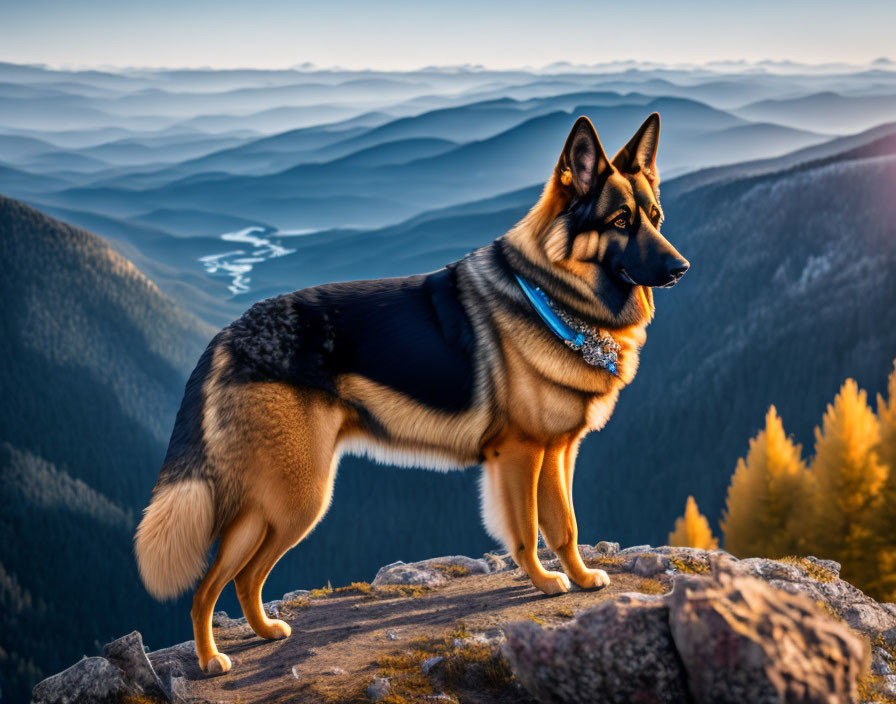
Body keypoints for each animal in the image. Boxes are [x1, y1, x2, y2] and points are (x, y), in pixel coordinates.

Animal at [136, 113, 688, 672]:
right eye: (620, 221)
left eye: (655, 218)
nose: (681, 268)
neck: (551, 294)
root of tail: (229, 335)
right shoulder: (522, 455)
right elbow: (529, 530)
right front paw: (546, 583)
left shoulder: (556, 454)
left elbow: (565, 525)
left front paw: (578, 579)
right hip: (296, 499)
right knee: (210, 585)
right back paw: (210, 659)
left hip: (273, 506)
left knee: (238, 578)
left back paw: (265, 631)